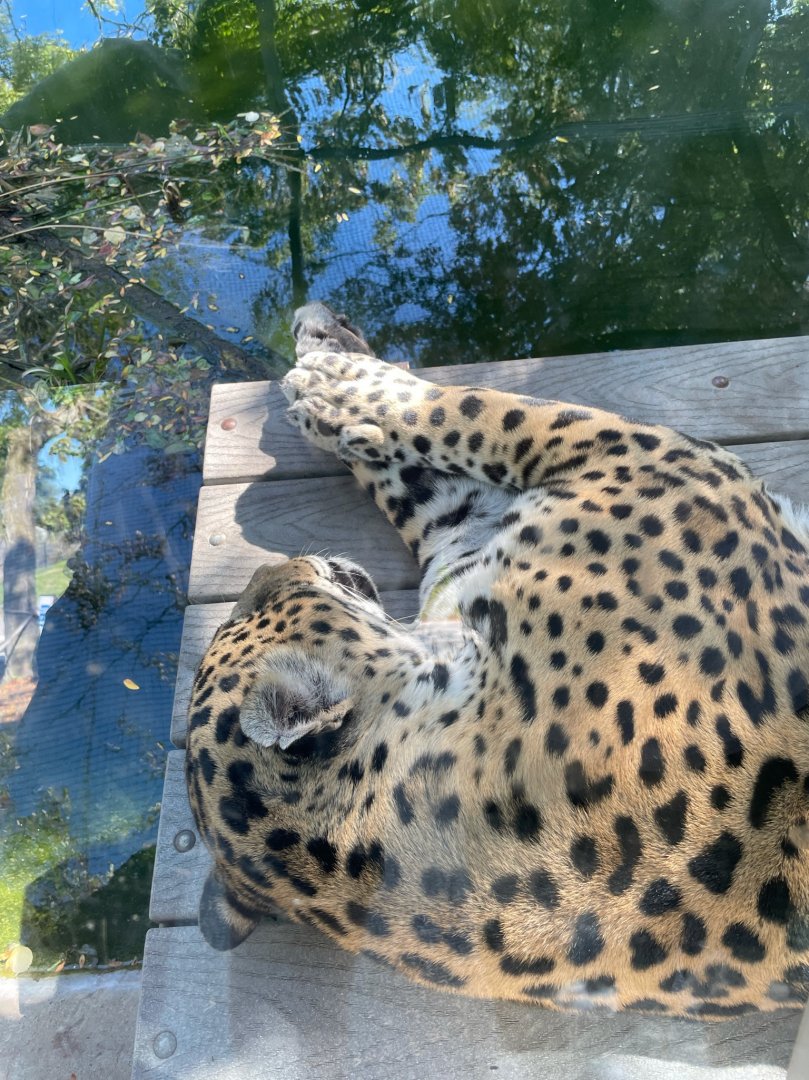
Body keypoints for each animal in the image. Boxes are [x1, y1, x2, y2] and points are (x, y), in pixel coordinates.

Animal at [186, 301, 809, 1018]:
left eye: (249, 604)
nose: (268, 567)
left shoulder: (461, 540)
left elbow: (420, 467)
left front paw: (326, 351)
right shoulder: (639, 455)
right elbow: (487, 411)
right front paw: (333, 383)